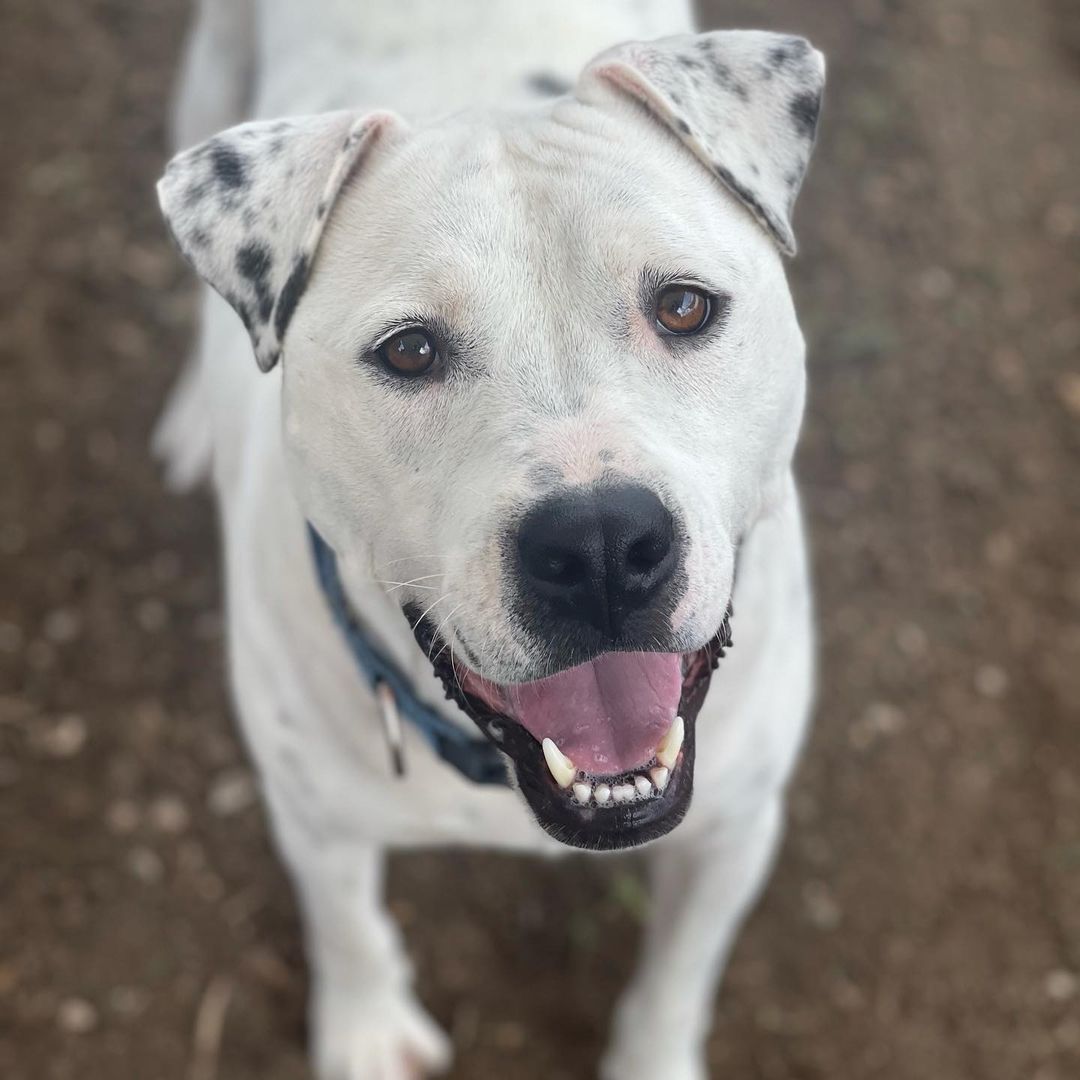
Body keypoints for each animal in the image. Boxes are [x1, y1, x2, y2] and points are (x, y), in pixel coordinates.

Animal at [156, 0, 820, 1075]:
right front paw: (366, 1032)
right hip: (211, 74)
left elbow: (678, 976)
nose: (599, 547)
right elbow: (346, 928)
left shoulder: (736, 826)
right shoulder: (313, 817)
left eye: (684, 305)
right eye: (408, 351)